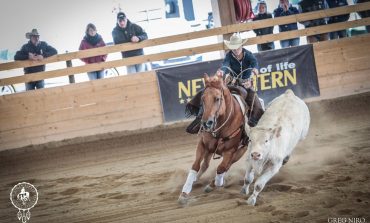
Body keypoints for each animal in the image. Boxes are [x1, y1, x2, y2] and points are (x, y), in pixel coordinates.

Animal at [178, 72, 249, 205]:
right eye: (202, 99)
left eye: (217, 98)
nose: (206, 123)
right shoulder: (203, 144)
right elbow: (195, 166)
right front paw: (184, 193)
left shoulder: (230, 151)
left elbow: (221, 168)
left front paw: (215, 184)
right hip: (210, 150)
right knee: (205, 165)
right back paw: (196, 180)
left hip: (241, 151)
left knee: (226, 166)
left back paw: (213, 184)